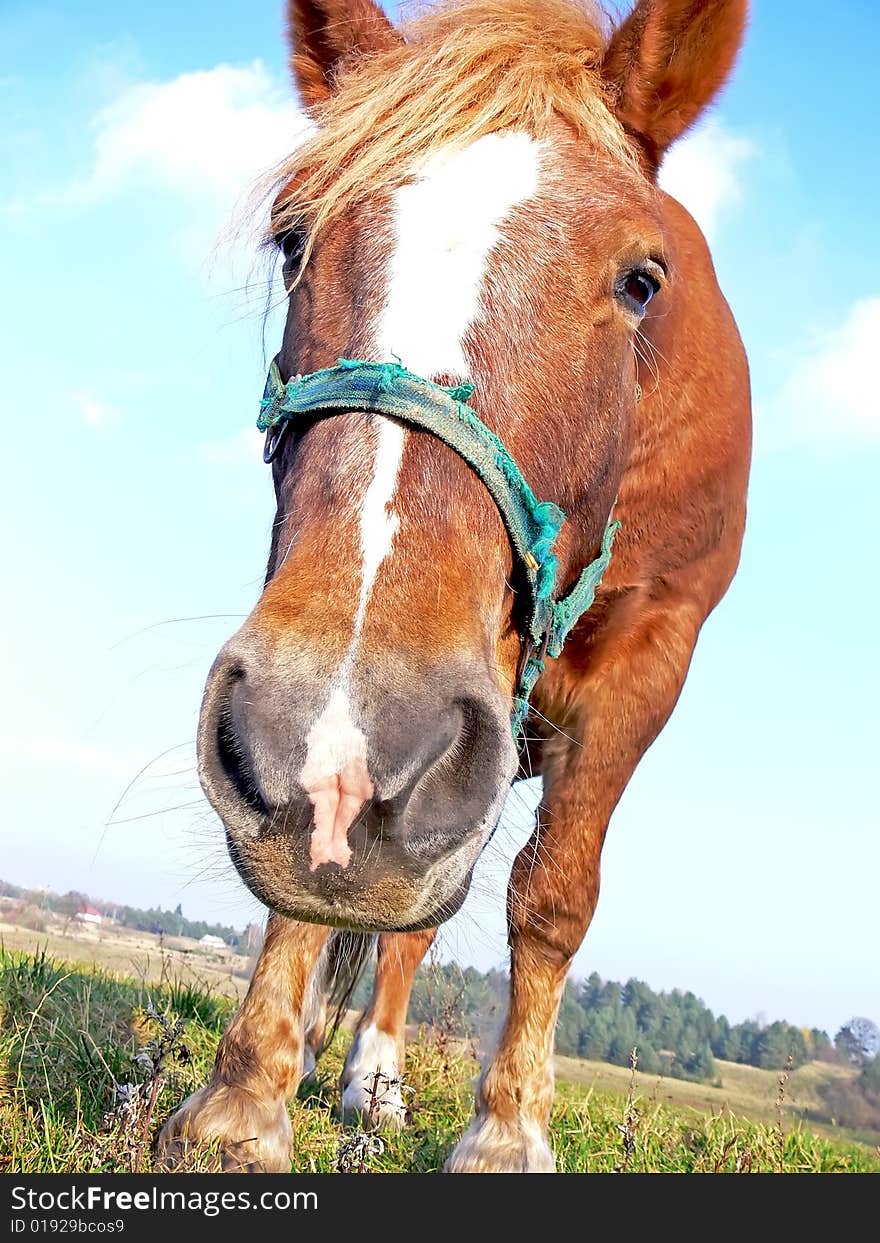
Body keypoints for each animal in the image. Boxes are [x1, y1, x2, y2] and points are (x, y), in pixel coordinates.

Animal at [157, 0, 750, 1168]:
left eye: (641, 281)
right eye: (291, 239)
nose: (345, 744)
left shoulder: (651, 656)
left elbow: (554, 893)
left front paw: (507, 1129)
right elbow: (312, 895)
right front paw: (246, 1095)